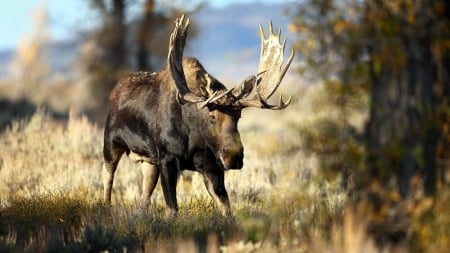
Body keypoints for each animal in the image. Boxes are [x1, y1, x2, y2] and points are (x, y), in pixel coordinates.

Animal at [102, 14, 296, 215]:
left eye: (238, 116)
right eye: (212, 116)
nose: (233, 156)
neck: (192, 136)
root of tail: (115, 89)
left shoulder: (212, 167)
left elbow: (226, 208)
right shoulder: (167, 160)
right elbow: (172, 209)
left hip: (149, 161)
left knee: (144, 195)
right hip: (111, 143)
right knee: (107, 178)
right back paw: (105, 208)